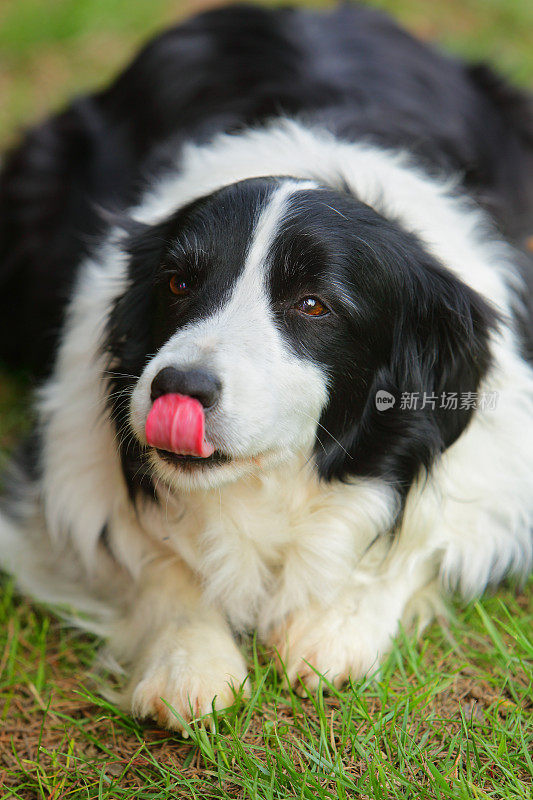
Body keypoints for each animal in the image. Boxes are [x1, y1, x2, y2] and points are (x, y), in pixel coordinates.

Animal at [1, 3, 532, 728]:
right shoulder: (68, 470)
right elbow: (154, 560)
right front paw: (187, 663)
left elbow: (421, 542)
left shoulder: (499, 463)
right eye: (177, 283)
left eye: (312, 304)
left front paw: (333, 628)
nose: (178, 389)